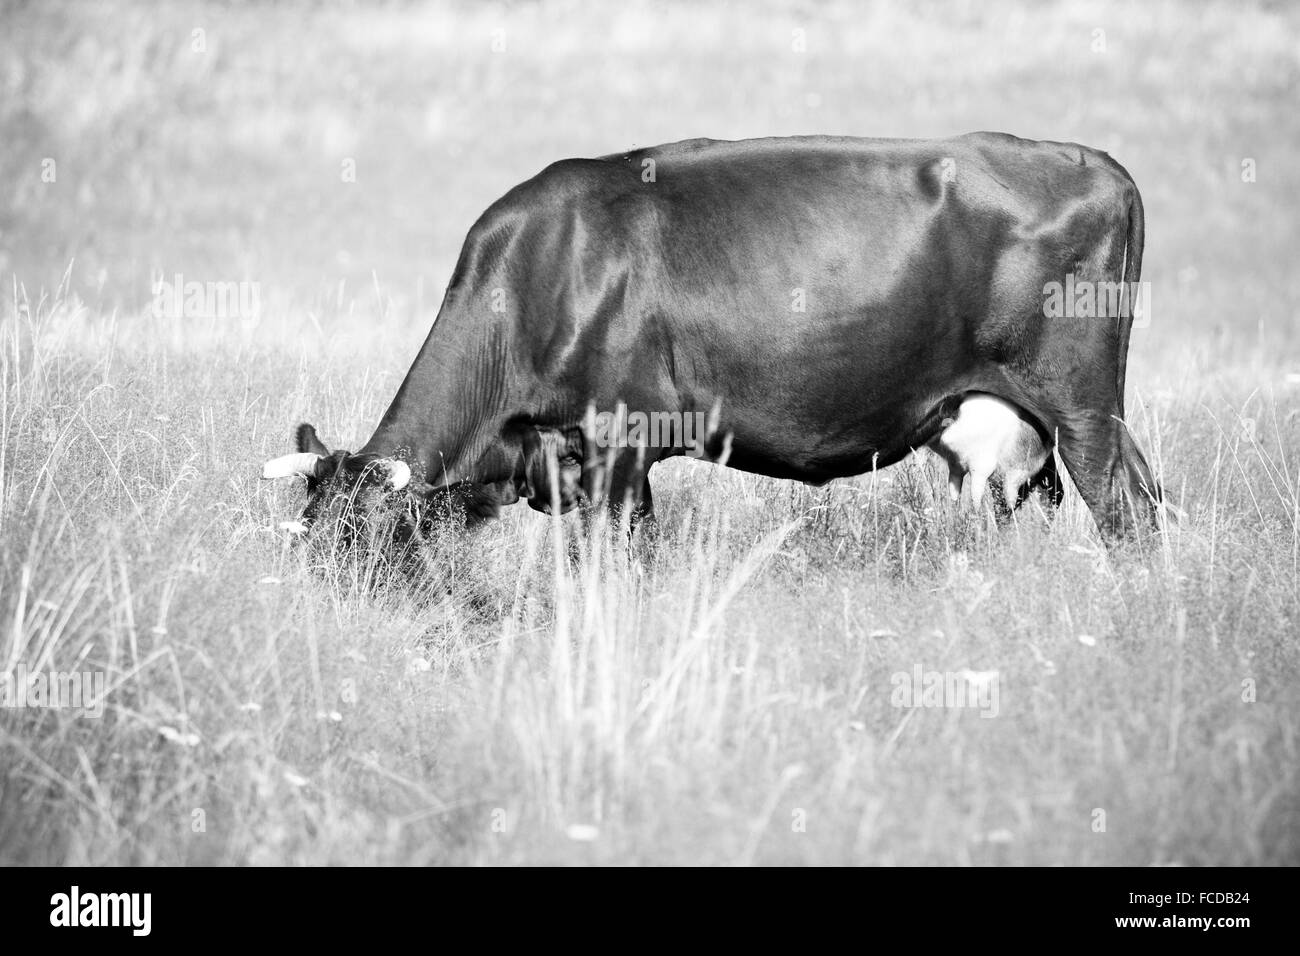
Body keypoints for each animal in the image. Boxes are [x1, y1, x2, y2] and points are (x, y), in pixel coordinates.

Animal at [262, 133, 1163, 541]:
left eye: (364, 544)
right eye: (306, 545)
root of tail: (1099, 162)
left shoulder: (617, 443)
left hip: (1081, 407)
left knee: (1129, 509)